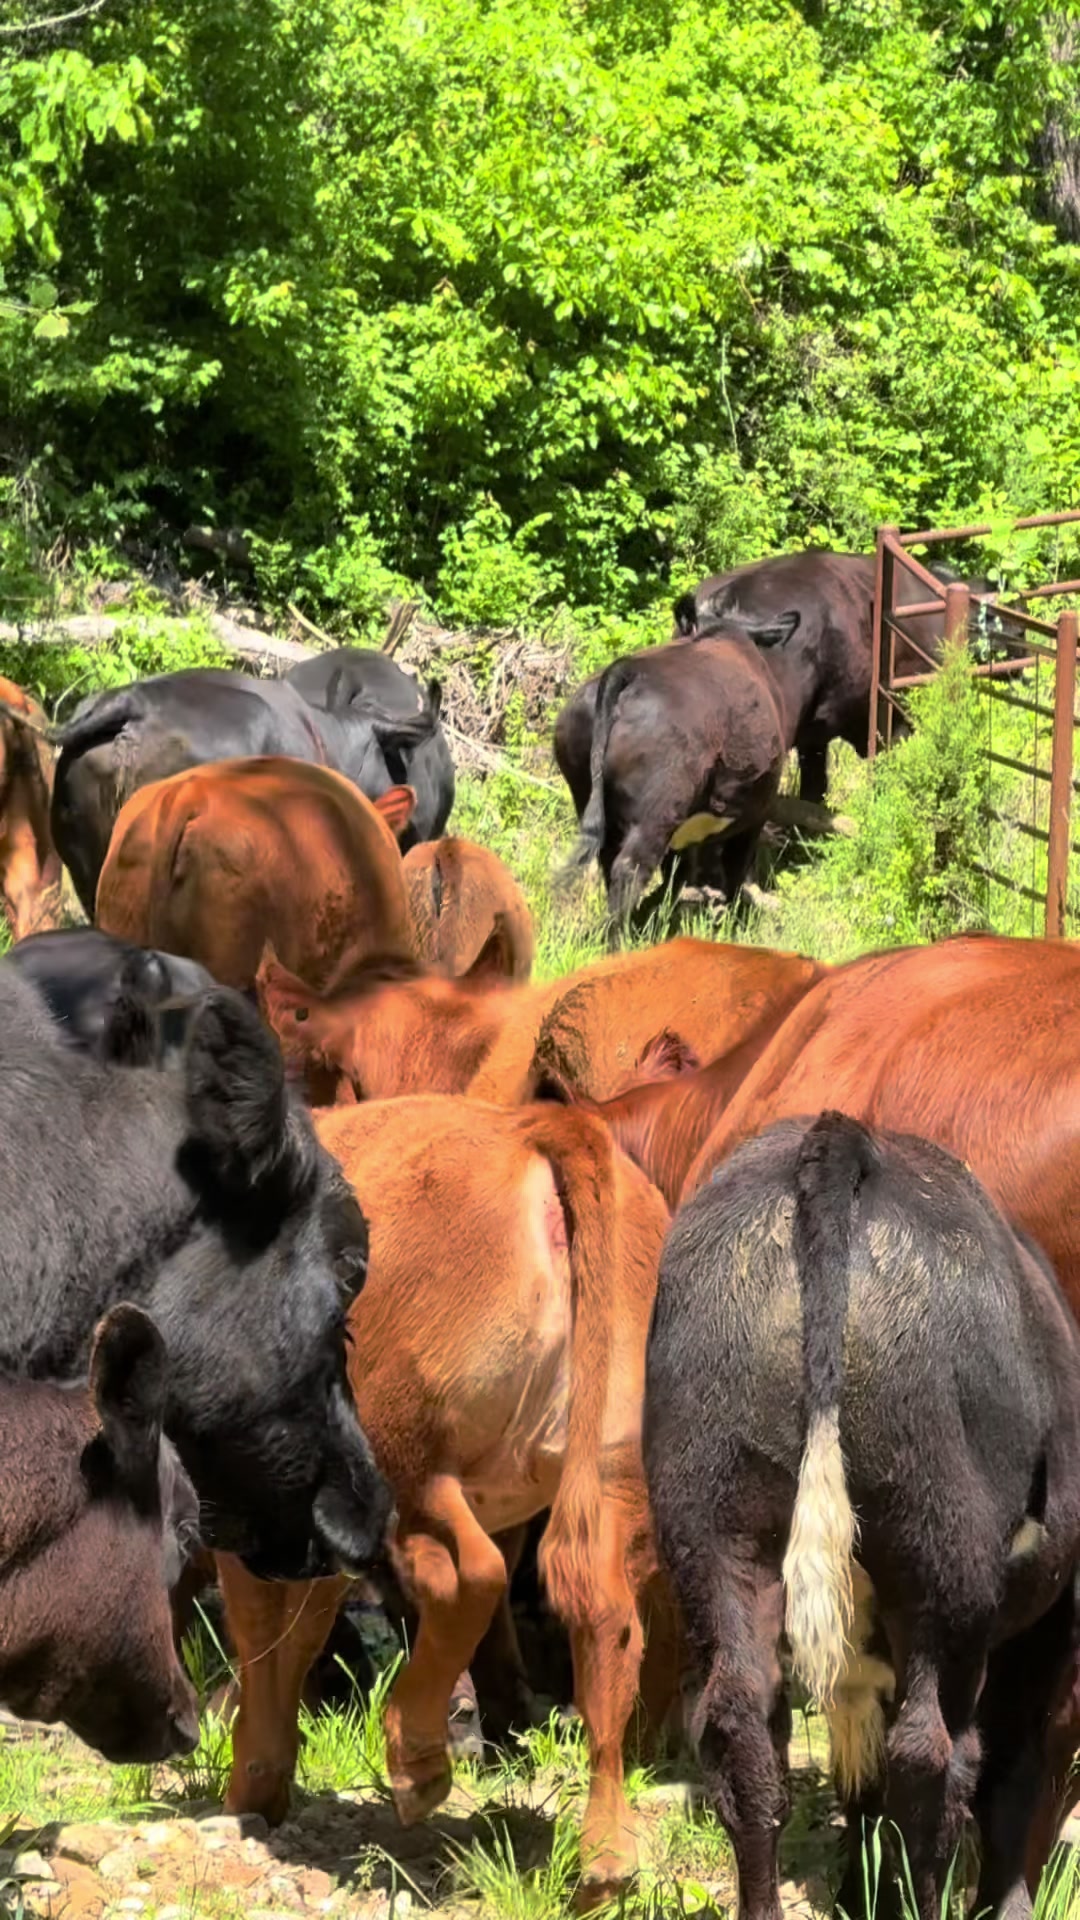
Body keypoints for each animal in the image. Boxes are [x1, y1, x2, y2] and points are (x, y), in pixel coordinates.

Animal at [211, 1095, 674, 1906]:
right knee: (604, 1617)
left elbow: (263, 1632)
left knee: (472, 1578)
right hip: (614, 1468)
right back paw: (606, 1858)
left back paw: (419, 1757)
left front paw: (253, 1784)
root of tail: (530, 1128)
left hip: (405, 1460)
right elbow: (297, 1632)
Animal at [558, 611, 801, 930]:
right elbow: (734, 871)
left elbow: (677, 876)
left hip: (586, 789)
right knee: (630, 868)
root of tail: (628, 670)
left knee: (609, 862)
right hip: (658, 811)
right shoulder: (755, 814)